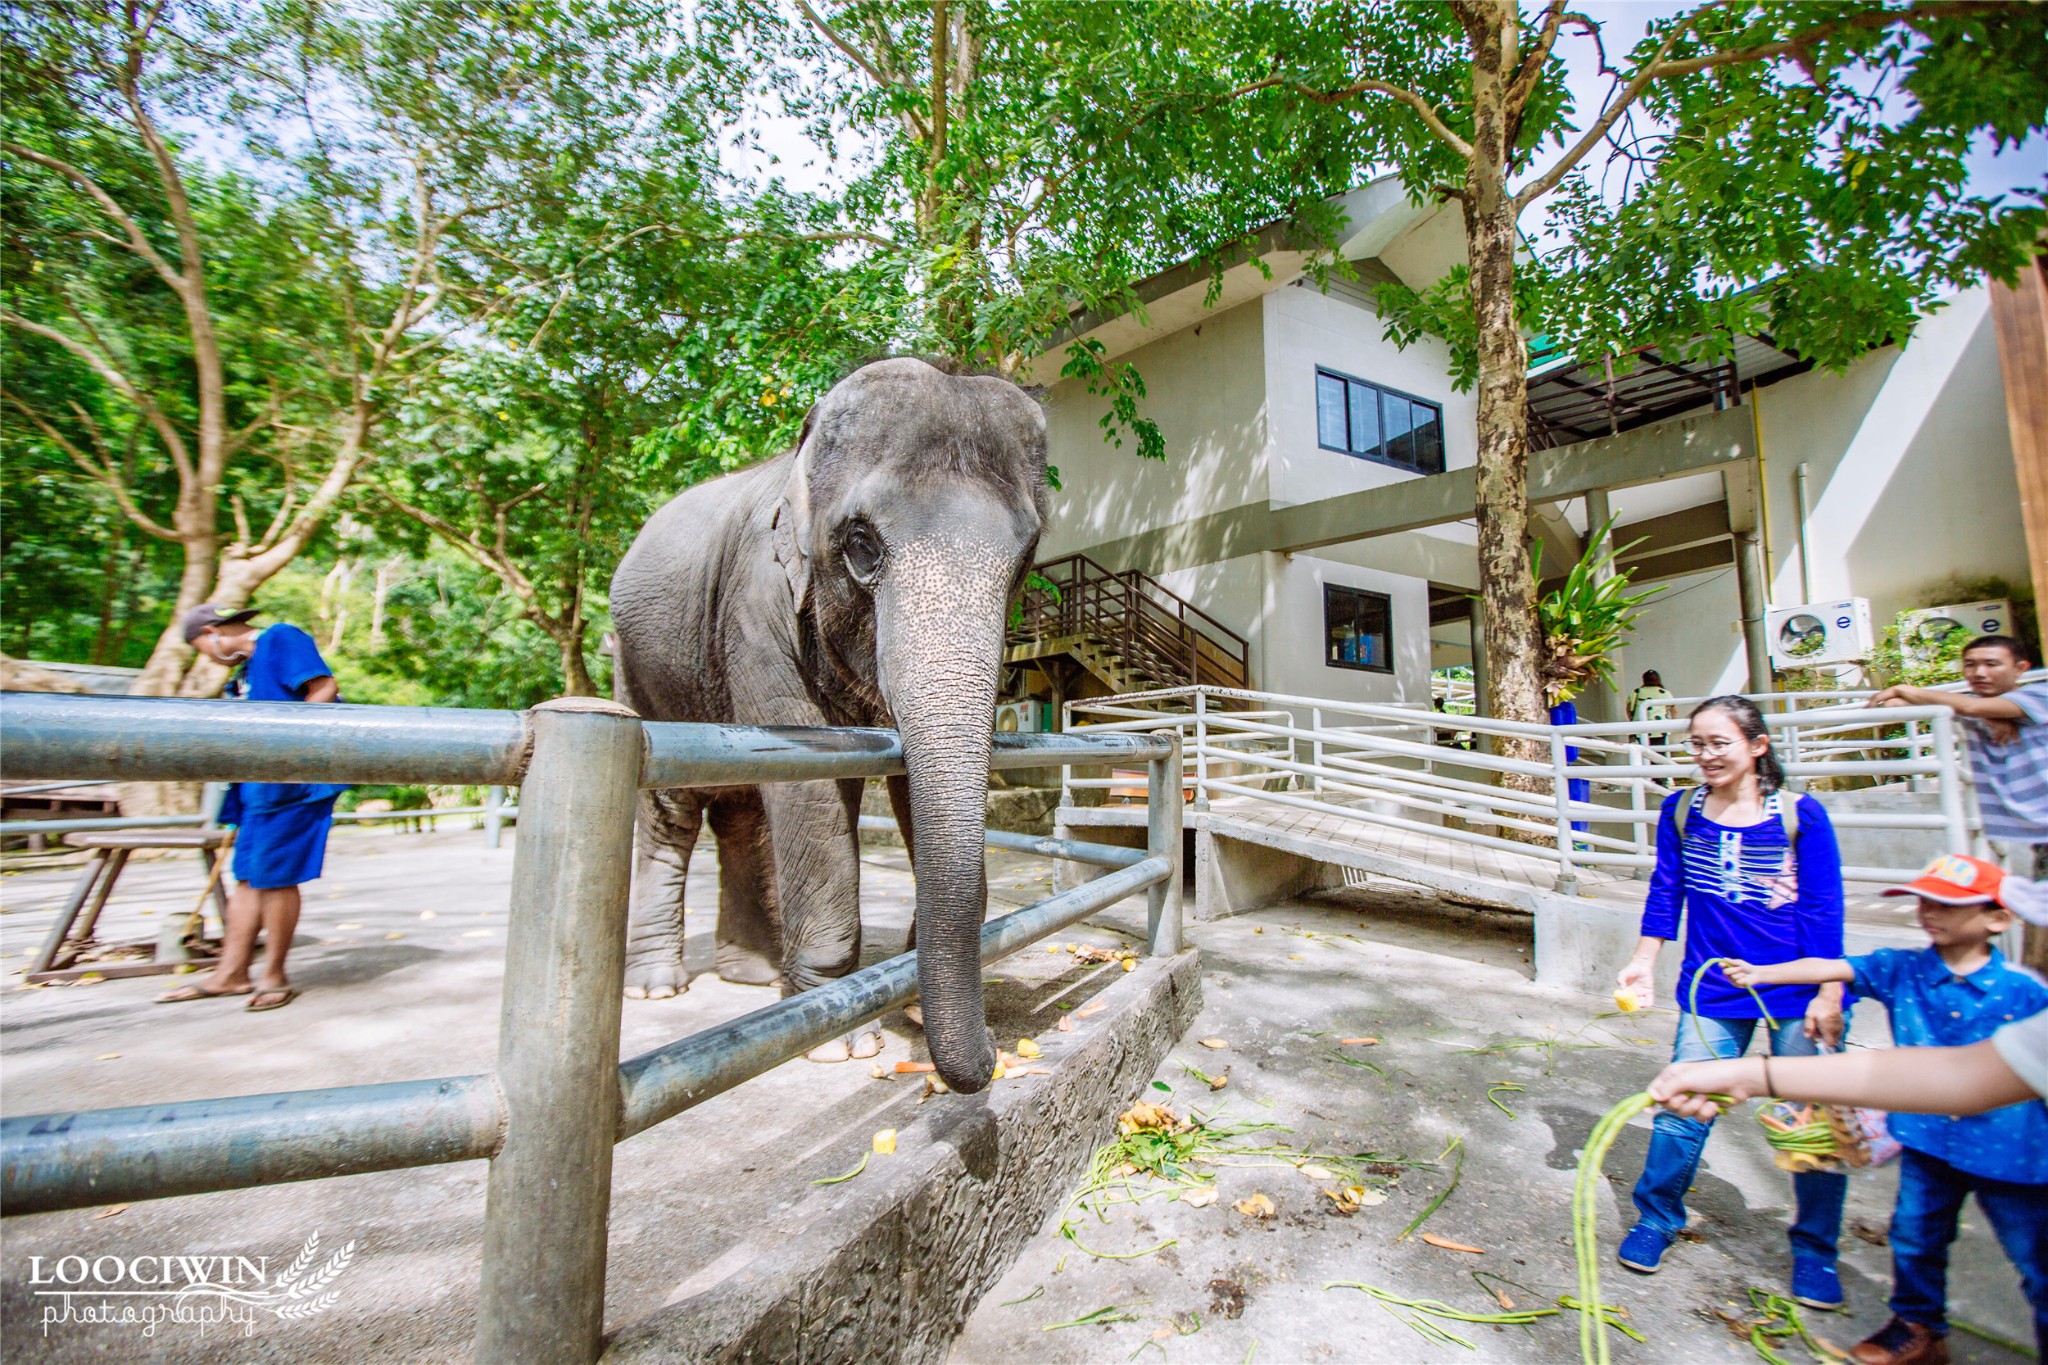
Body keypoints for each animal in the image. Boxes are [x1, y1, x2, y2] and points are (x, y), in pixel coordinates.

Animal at [606, 358, 1048, 1096]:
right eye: (862, 545)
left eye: (1025, 558)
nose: (992, 1052)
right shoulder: (757, 602)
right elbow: (811, 786)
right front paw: (839, 1044)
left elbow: (901, 783)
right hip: (640, 668)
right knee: (674, 810)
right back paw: (657, 987)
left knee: (742, 810)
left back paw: (753, 976)